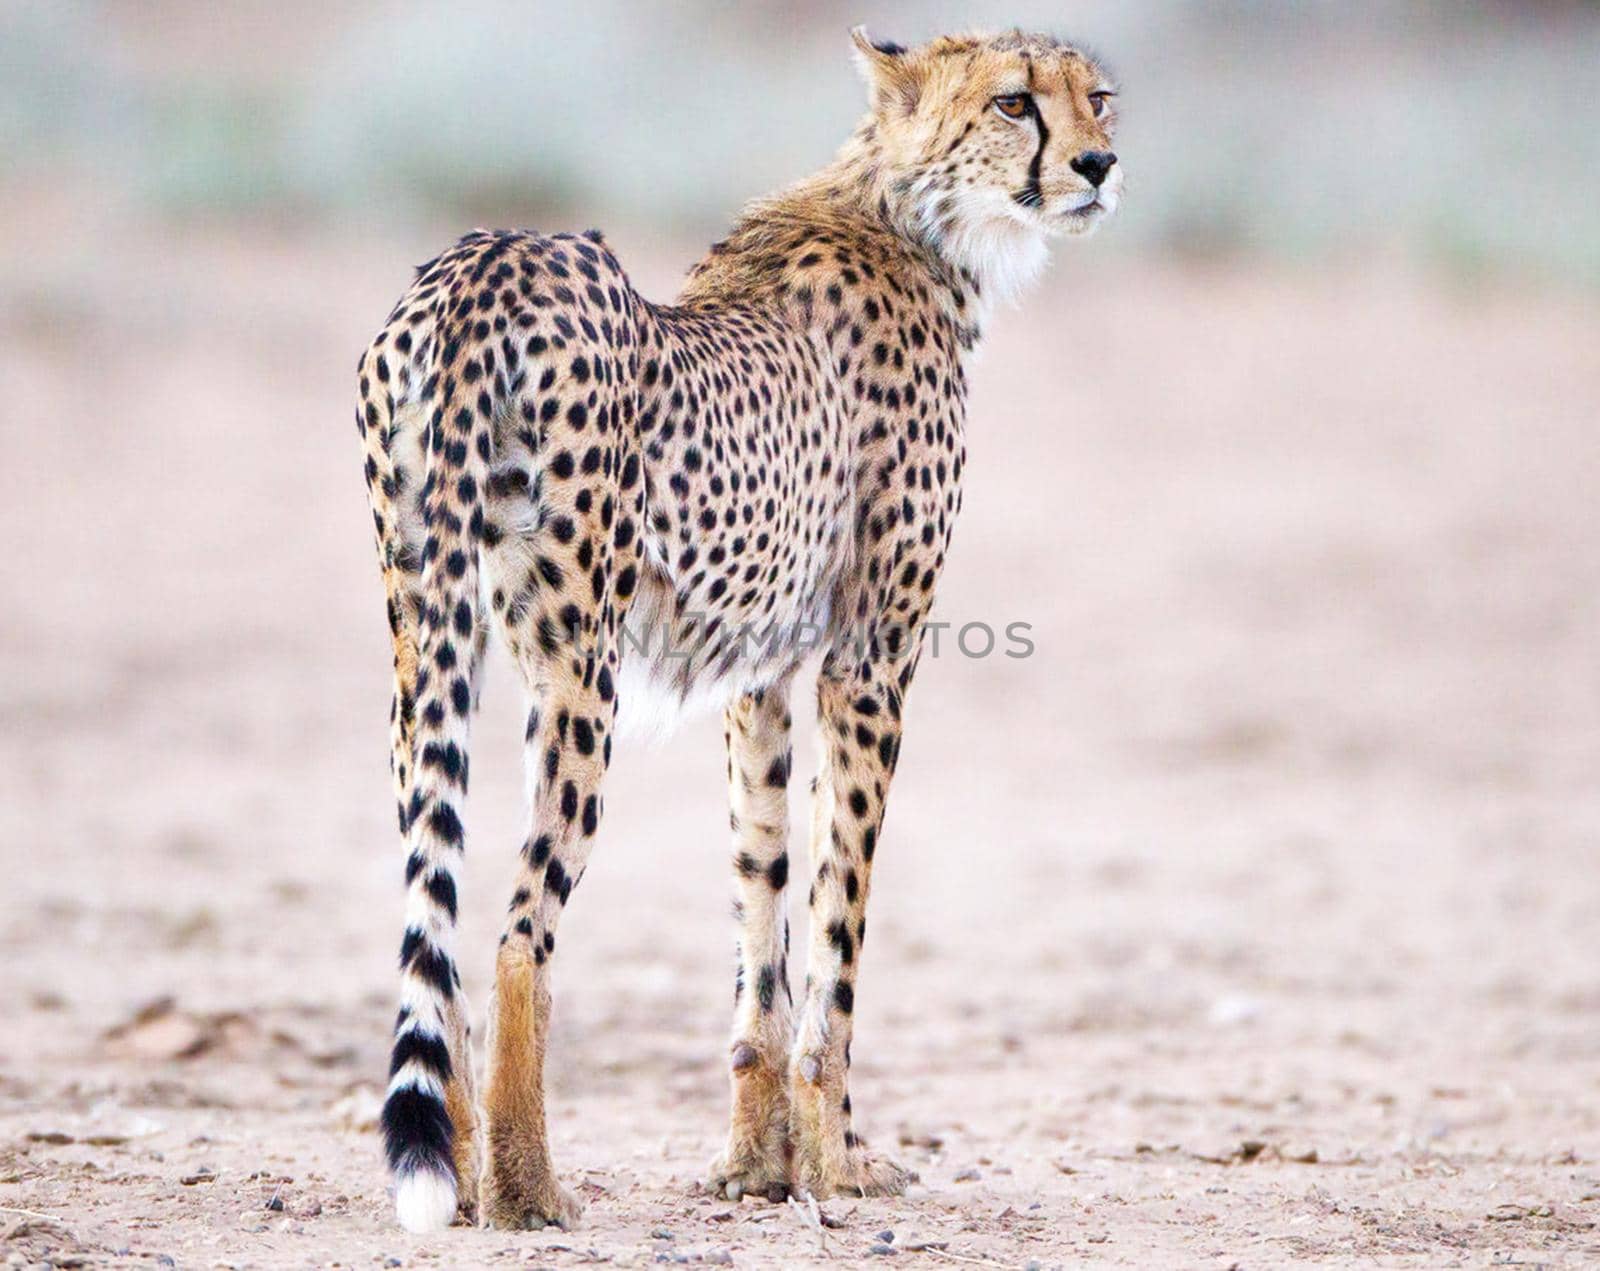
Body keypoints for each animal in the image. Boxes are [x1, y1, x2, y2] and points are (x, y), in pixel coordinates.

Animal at [355, 24, 1120, 1229]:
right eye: (1013, 103)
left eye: (1099, 98)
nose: (1098, 164)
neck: (915, 218)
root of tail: (491, 256)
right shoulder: (868, 660)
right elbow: (838, 925)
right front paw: (839, 1158)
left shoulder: (755, 672)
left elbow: (762, 909)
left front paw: (759, 1165)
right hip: (579, 676)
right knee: (519, 931)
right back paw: (528, 1191)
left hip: (429, 641)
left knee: (440, 912)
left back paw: (472, 1180)